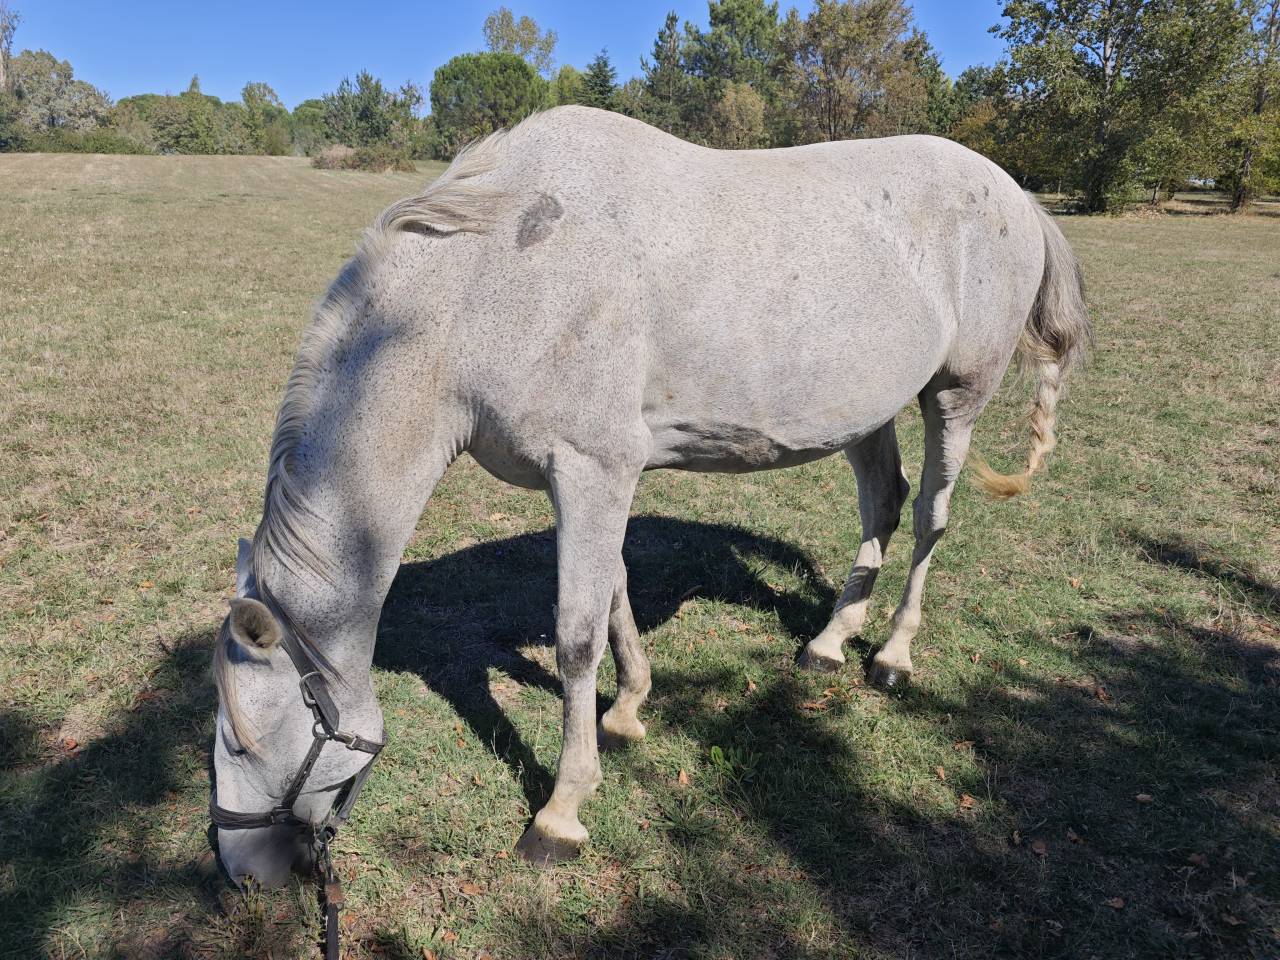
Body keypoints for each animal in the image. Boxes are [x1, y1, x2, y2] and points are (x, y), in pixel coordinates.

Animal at [209, 106, 1090, 886]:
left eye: (244, 741)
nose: (243, 872)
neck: (491, 283)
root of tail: (1015, 193)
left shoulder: (593, 468)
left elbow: (574, 636)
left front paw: (560, 813)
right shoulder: (592, 478)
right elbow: (613, 597)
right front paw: (628, 710)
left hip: (956, 396)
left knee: (931, 516)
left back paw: (894, 656)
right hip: (868, 409)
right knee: (883, 504)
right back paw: (829, 642)